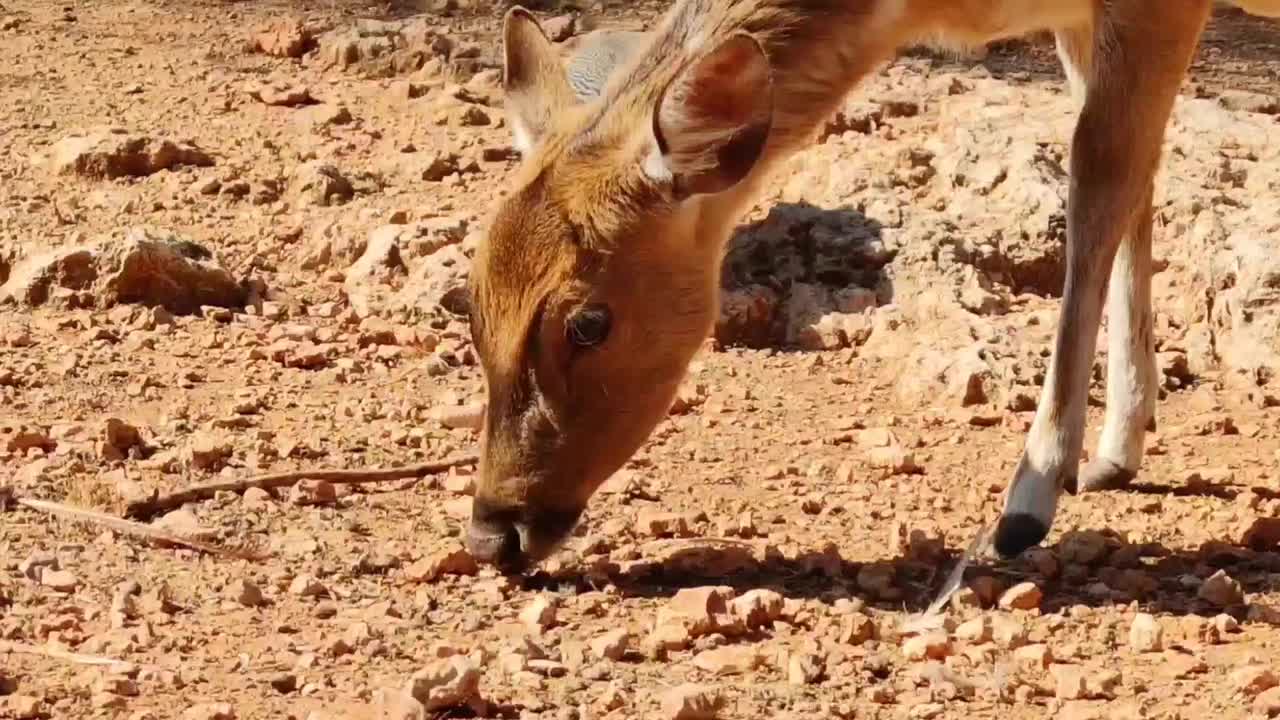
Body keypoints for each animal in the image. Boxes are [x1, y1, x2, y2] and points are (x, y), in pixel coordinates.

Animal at [463, 1, 1280, 571]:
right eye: (473, 305)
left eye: (588, 322)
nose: (493, 533)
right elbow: (1136, 190)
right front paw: (1115, 452)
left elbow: (1098, 192)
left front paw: (1026, 508)